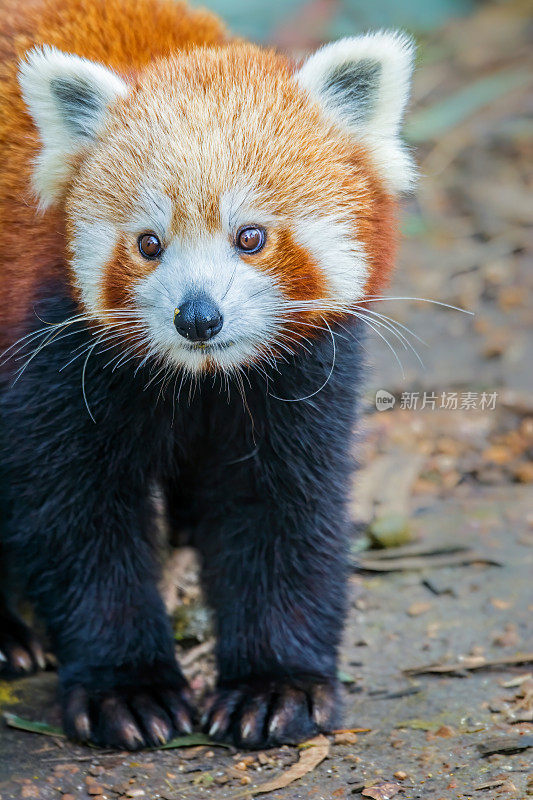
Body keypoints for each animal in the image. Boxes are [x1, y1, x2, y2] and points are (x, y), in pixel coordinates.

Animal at [0, 0, 414, 752]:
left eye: (250, 237)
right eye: (148, 244)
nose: (198, 316)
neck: (197, 376)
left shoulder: (302, 372)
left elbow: (280, 507)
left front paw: (276, 685)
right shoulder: (49, 344)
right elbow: (75, 513)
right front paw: (126, 688)